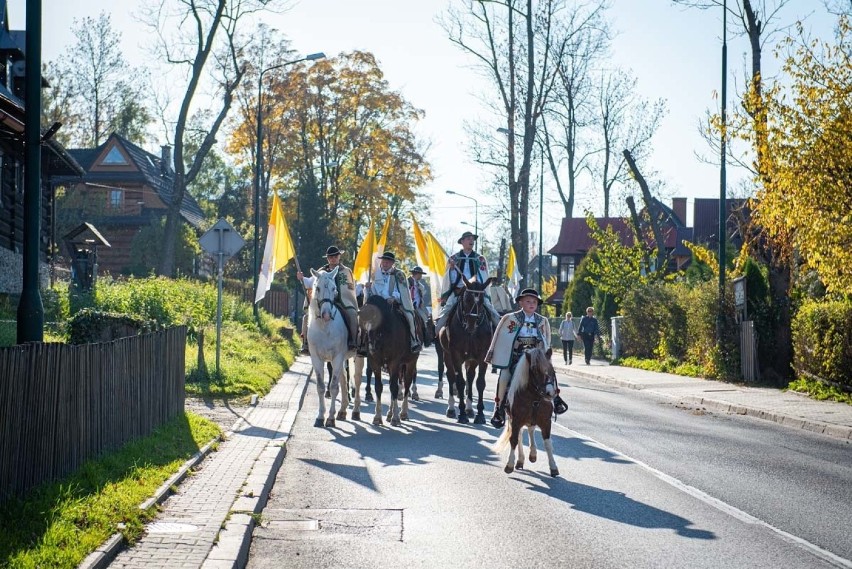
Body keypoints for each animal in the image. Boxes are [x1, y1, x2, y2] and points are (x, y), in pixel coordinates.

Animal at [306, 266, 352, 426]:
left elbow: (333, 387)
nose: (326, 314)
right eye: (317, 288)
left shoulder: (337, 357)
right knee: (343, 379)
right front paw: (320, 416)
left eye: (334, 289)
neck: (325, 327)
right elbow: (320, 386)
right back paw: (343, 410)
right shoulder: (316, 358)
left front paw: (330, 418)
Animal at [356, 296, 420, 424]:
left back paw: (403, 412)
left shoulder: (394, 362)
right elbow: (379, 387)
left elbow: (394, 387)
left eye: (377, 319)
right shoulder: (375, 362)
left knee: (407, 383)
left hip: (411, 362)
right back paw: (390, 413)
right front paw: (377, 416)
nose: (371, 345)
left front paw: (395, 417)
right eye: (363, 321)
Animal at [440, 276, 492, 422]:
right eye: (467, 299)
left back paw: (469, 409)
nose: (471, 325)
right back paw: (452, 408)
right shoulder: (455, 354)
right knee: (451, 376)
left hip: (471, 359)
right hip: (446, 354)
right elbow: (460, 382)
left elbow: (480, 382)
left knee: (470, 376)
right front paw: (462, 414)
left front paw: (480, 414)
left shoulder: (482, 355)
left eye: (482, 301)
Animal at [492, 348, 560, 478]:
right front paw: (510, 464)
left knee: (530, 430)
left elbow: (548, 443)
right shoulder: (516, 420)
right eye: (535, 370)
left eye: (552, 369)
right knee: (519, 435)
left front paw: (553, 467)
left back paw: (532, 454)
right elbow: (514, 440)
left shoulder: (546, 422)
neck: (534, 398)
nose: (550, 393)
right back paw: (520, 460)